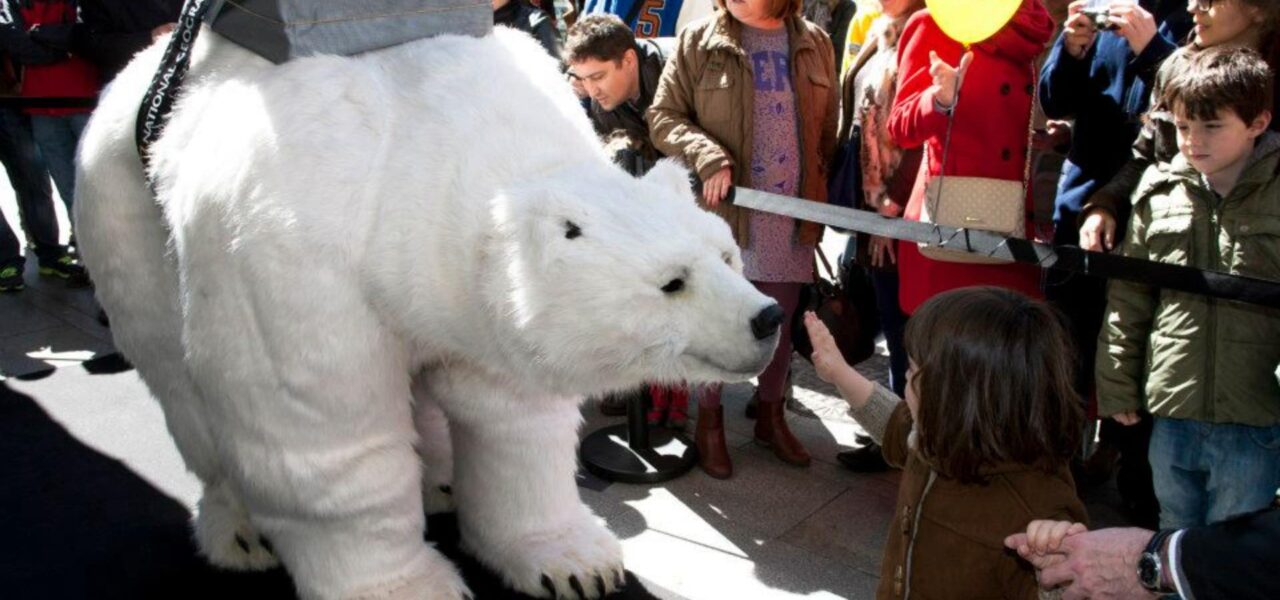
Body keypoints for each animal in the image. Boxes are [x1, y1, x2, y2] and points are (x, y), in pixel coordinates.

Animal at [74, 27, 784, 600]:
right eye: (673, 283)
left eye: (726, 254)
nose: (769, 318)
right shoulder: (291, 254)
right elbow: (322, 434)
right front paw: (401, 586)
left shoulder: (470, 307)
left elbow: (512, 417)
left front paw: (573, 564)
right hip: (126, 212)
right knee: (179, 380)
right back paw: (241, 533)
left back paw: (440, 482)